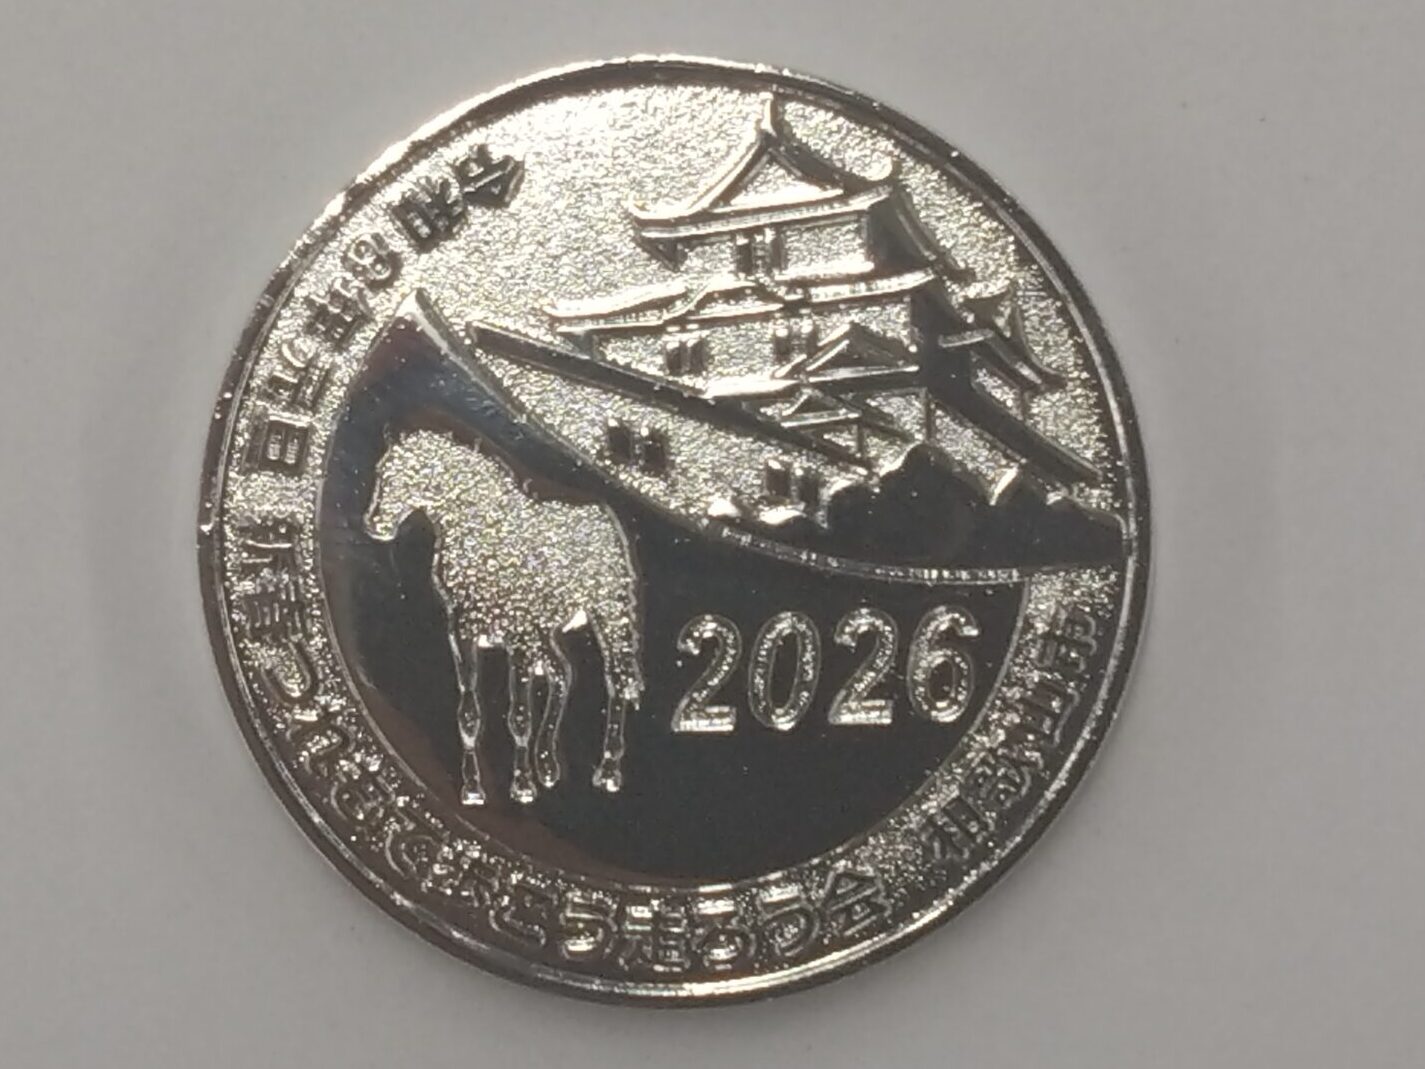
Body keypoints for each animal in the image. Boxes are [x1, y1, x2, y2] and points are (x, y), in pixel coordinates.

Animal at [364, 430, 643, 804]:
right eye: (382, 471)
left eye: (398, 472)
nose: (374, 524)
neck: (484, 537)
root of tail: (604, 517)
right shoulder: (464, 633)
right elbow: (469, 717)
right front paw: (472, 788)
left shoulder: (518, 639)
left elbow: (519, 718)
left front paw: (522, 784)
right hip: (546, 632)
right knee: (562, 673)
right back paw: (548, 763)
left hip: (610, 621)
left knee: (617, 681)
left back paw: (608, 769)